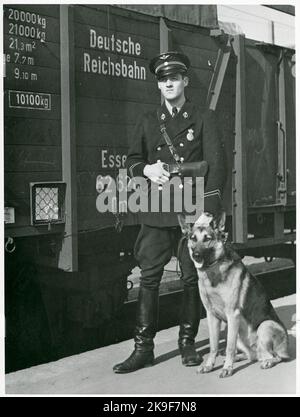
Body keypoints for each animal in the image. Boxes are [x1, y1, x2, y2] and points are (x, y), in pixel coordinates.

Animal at [178, 211, 288, 376]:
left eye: (207, 238)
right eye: (193, 238)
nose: (196, 254)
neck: (213, 272)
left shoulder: (232, 315)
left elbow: (229, 347)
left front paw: (227, 369)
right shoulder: (212, 316)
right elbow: (213, 346)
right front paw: (209, 365)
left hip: (264, 326)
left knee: (275, 356)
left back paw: (266, 362)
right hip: (239, 336)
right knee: (252, 356)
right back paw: (239, 358)